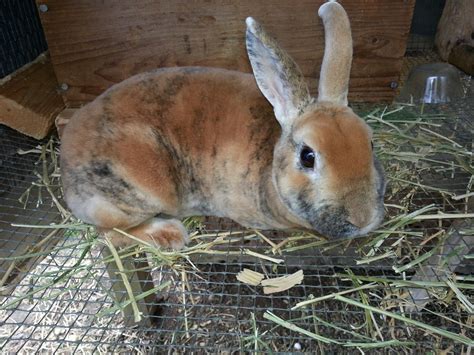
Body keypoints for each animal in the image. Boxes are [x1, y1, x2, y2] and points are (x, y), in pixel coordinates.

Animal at [60, 0, 386, 250]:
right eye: (308, 157)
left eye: (370, 143)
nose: (362, 218)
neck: (271, 162)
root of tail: (65, 157)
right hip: (140, 189)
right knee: (109, 233)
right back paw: (170, 234)